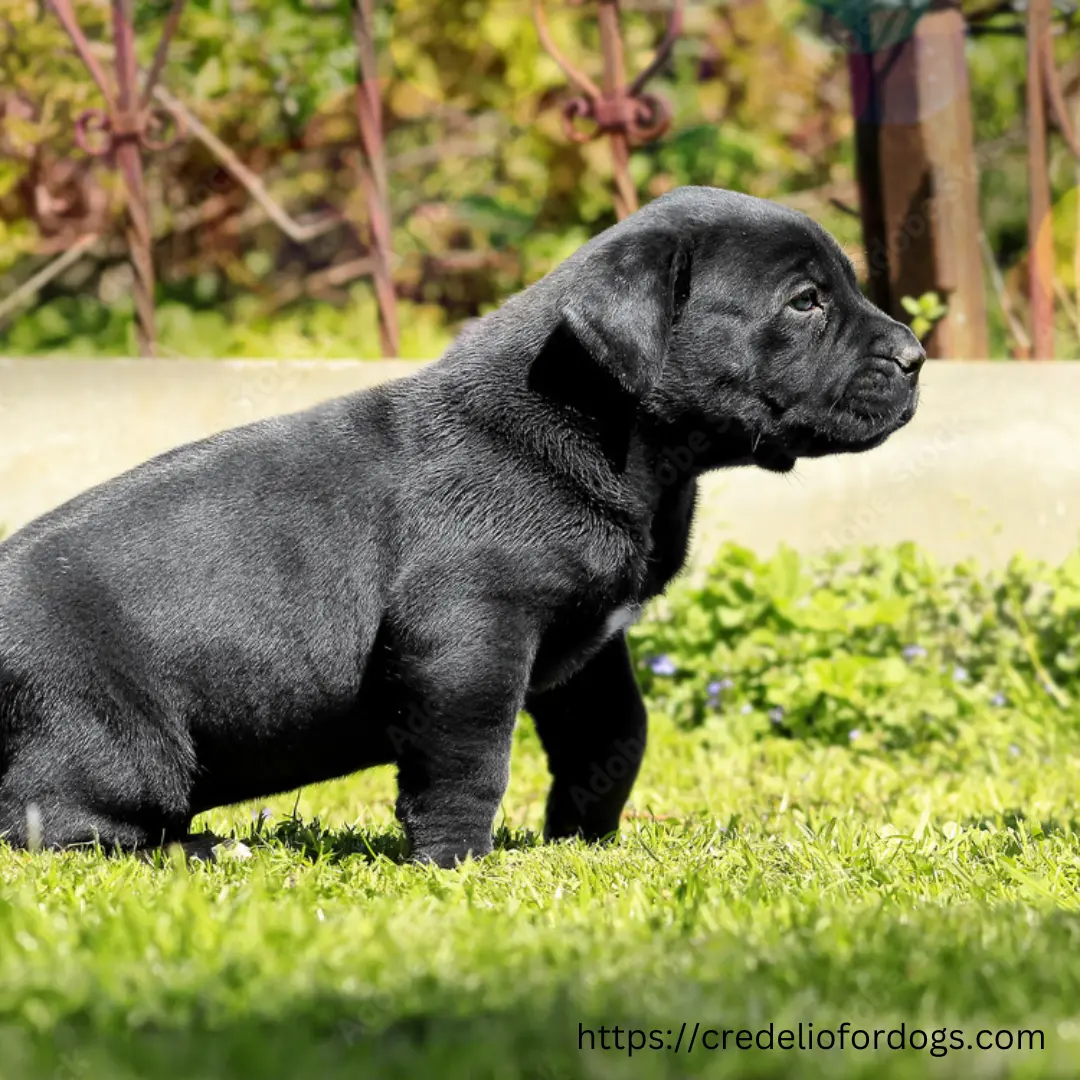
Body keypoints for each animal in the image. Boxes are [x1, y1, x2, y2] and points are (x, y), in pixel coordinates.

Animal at [0, 183, 924, 859]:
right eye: (804, 302)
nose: (918, 356)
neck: (609, 433)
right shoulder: (470, 629)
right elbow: (470, 753)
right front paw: (456, 861)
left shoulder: (590, 640)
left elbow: (615, 734)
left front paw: (583, 838)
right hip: (108, 738)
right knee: (58, 825)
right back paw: (204, 850)